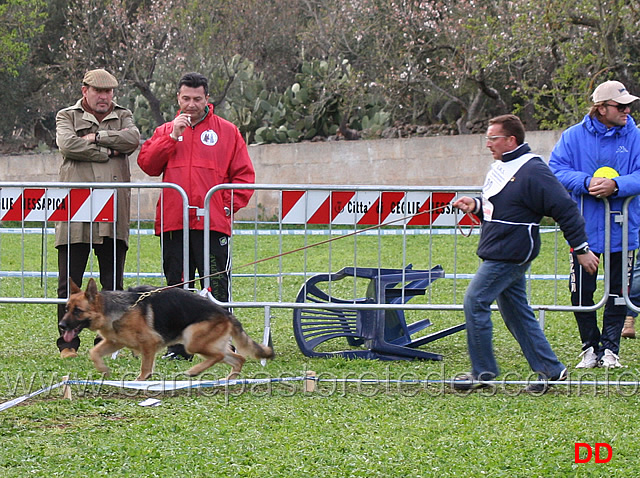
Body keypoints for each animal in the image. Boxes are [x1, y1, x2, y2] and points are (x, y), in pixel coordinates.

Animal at [57, 278, 272, 380]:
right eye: (66, 309)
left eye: (78, 311)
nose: (61, 325)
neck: (115, 309)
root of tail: (225, 313)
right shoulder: (114, 342)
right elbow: (94, 352)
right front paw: (103, 370)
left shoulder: (149, 344)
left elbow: (145, 368)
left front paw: (140, 381)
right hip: (208, 343)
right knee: (238, 358)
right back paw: (228, 379)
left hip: (192, 340)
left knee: (219, 356)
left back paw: (194, 371)